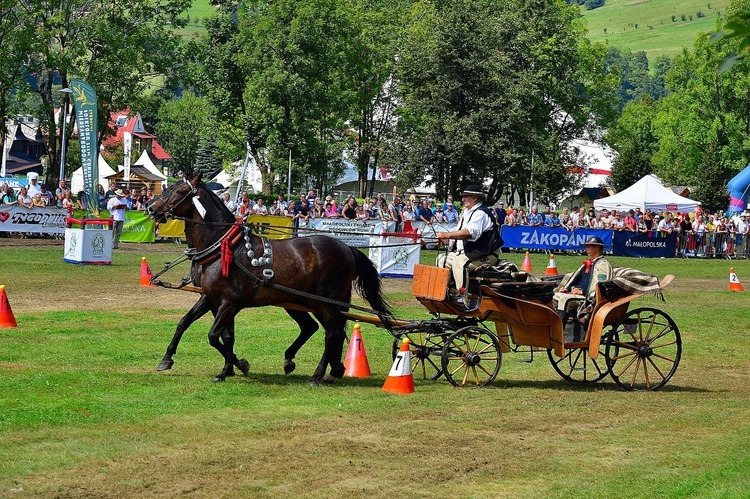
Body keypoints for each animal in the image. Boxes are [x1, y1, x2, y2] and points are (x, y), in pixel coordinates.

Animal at [148, 173, 394, 386]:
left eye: (180, 191)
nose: (151, 208)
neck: (223, 246)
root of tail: (347, 248)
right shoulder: (210, 298)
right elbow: (191, 325)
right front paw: (171, 360)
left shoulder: (229, 303)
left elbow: (214, 336)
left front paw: (238, 365)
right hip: (309, 302)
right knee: (326, 330)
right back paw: (331, 369)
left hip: (326, 302)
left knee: (332, 334)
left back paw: (317, 375)